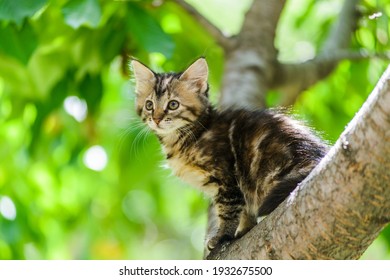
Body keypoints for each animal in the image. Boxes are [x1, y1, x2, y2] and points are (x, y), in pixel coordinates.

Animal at [132, 57, 330, 249]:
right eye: (149, 105)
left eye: (173, 105)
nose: (156, 119)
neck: (187, 136)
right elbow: (244, 210)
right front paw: (244, 230)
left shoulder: (227, 178)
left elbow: (228, 210)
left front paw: (221, 237)